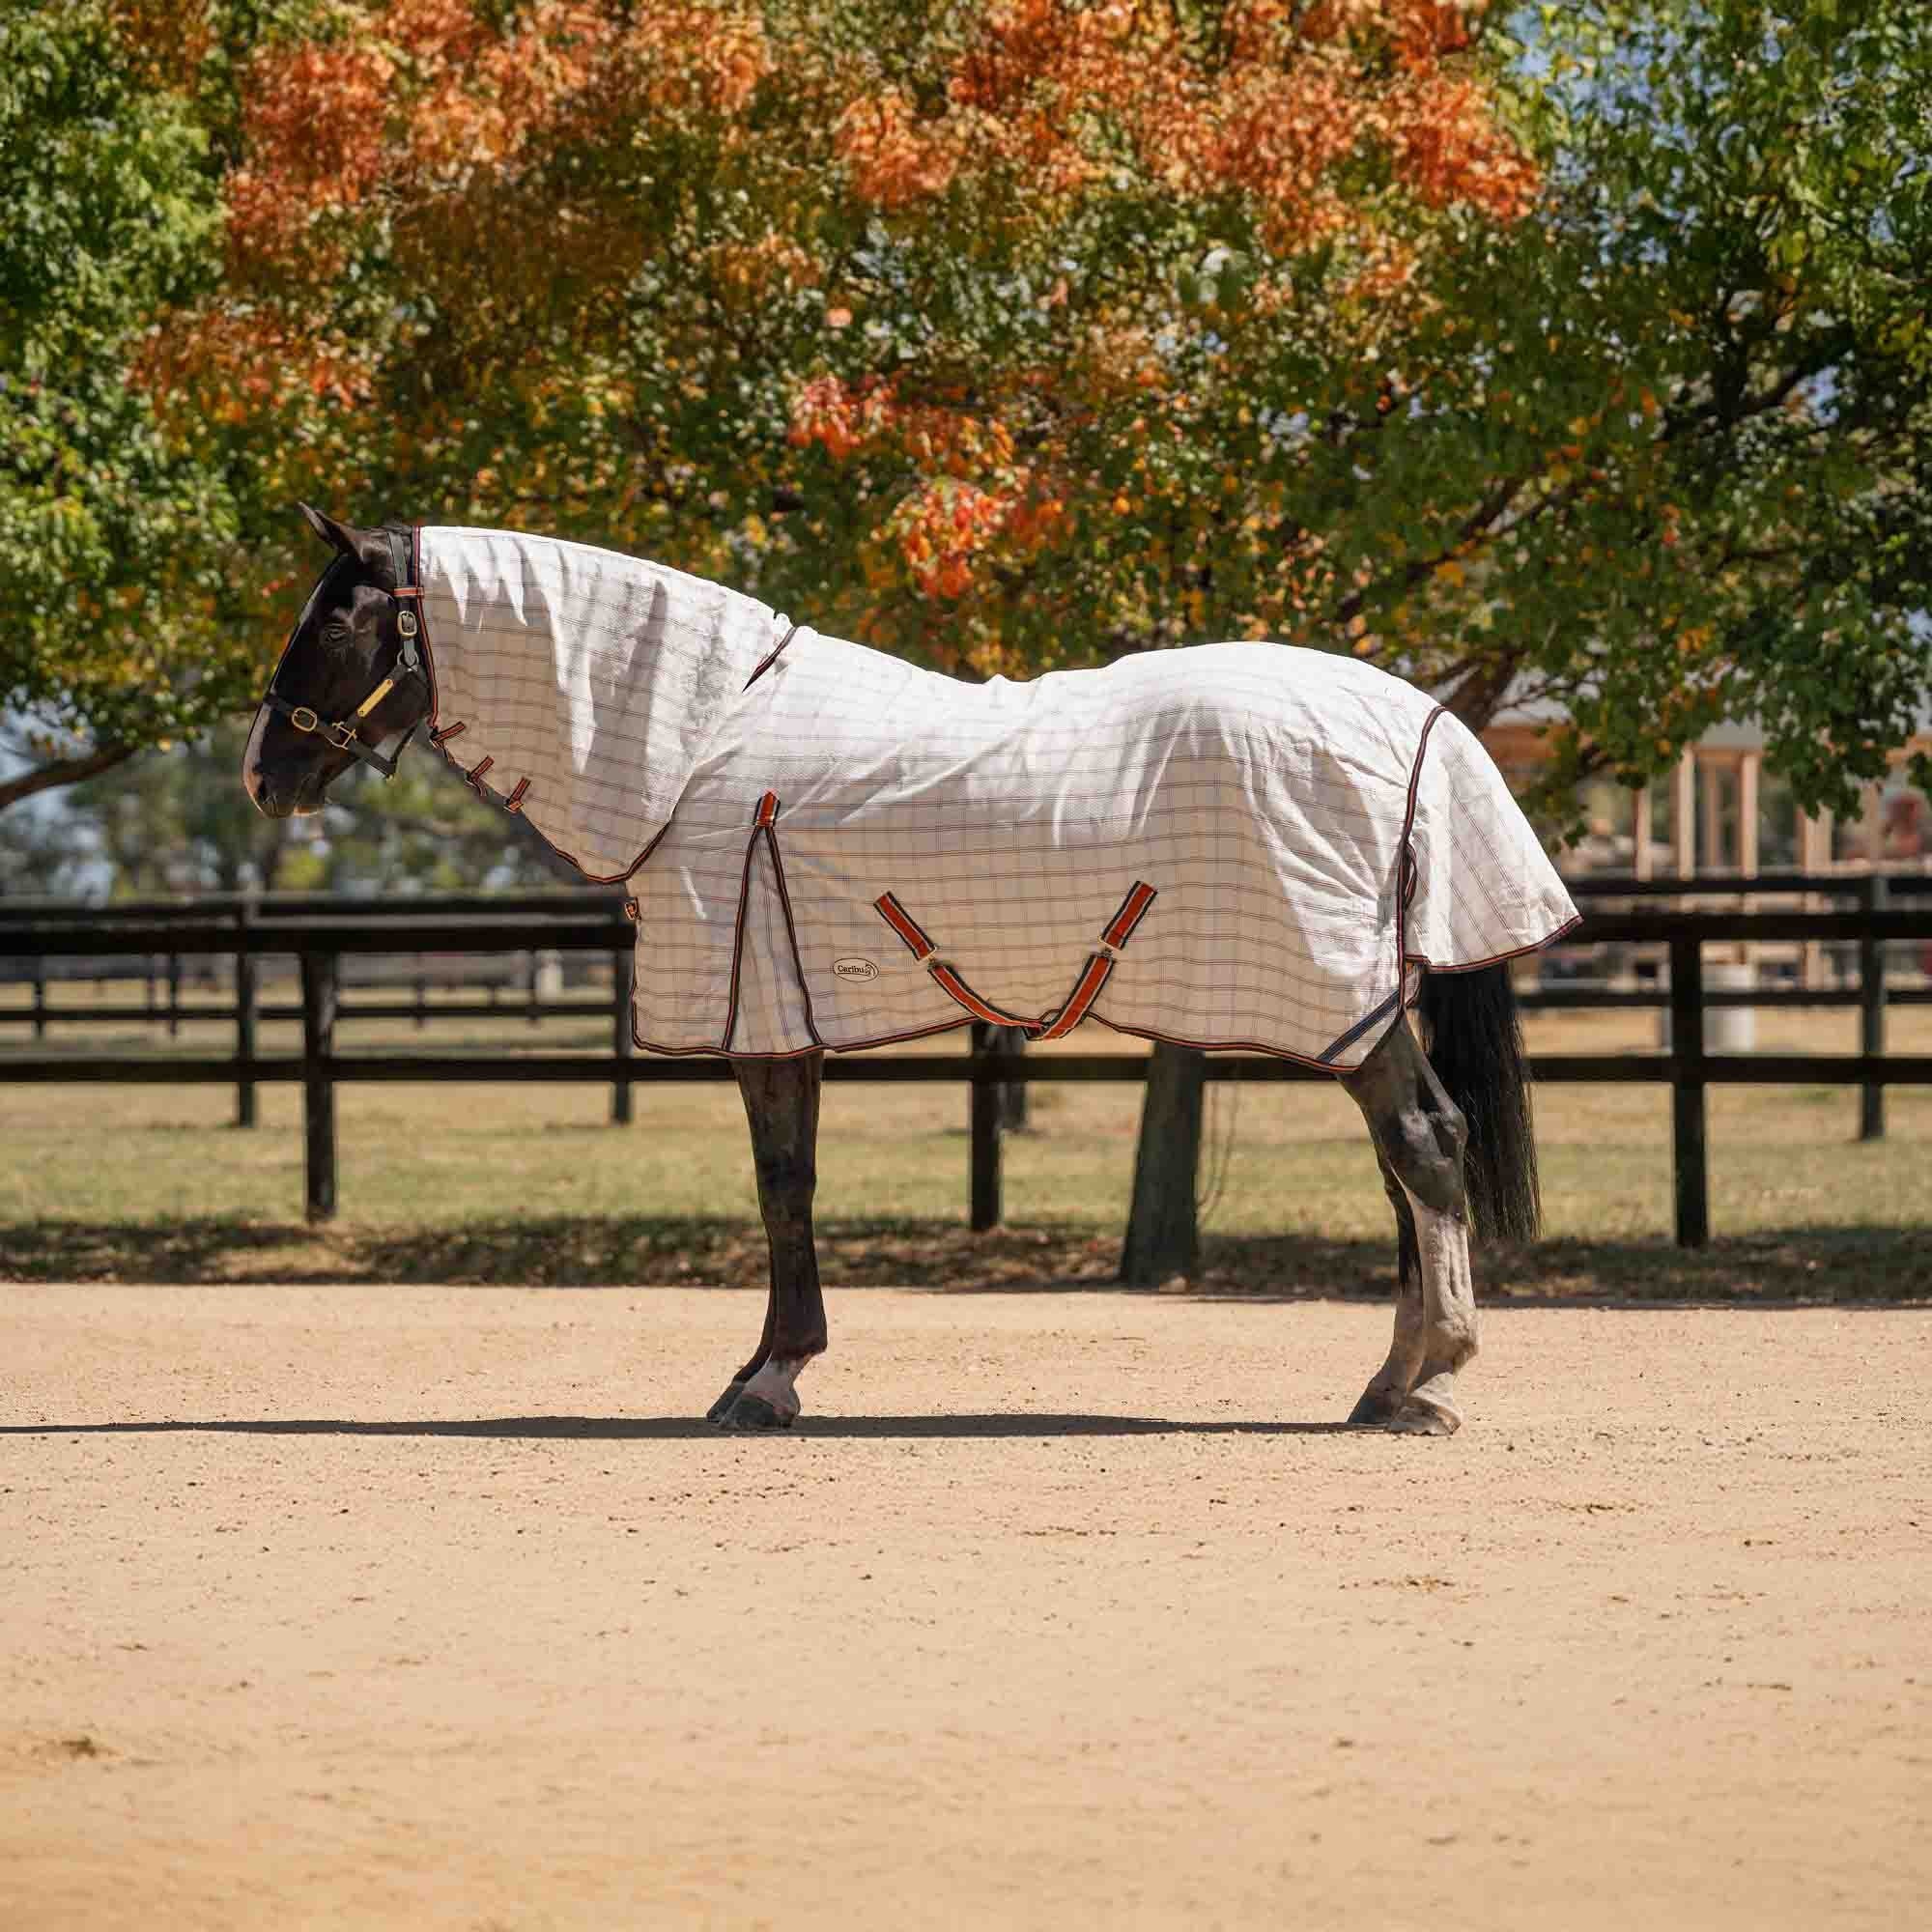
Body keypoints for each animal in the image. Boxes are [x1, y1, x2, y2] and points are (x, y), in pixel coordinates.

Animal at [244, 505, 1579, 1435]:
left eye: (338, 621)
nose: (264, 773)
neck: (696, 740)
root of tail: (1420, 719)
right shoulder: (785, 1013)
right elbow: (790, 1187)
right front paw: (767, 1368)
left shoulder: (762, 1013)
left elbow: (783, 1188)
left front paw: (768, 1380)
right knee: (1406, 1169)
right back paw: (1391, 1381)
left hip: (1344, 1004)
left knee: (1423, 1144)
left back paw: (1429, 1379)